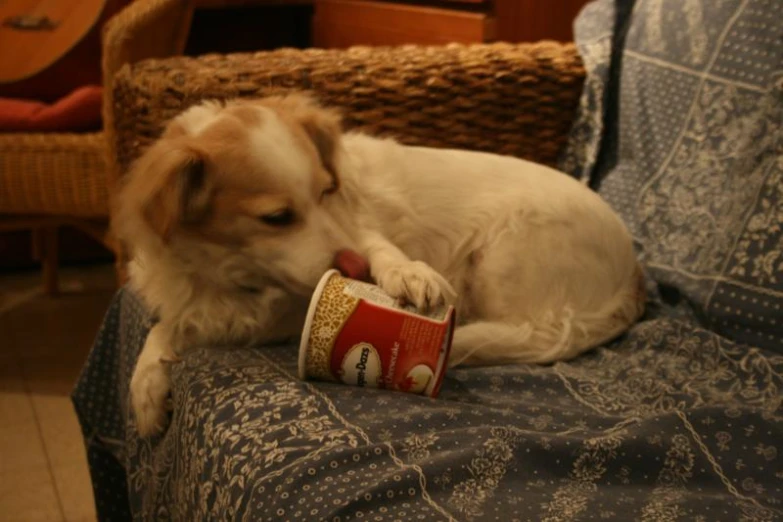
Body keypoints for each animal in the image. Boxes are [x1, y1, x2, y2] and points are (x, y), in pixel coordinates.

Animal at [115, 93, 644, 434]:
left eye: (326, 191)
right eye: (277, 218)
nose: (351, 269)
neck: (235, 276)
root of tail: (634, 277)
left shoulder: (341, 248)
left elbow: (380, 249)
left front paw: (409, 274)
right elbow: (166, 326)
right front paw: (146, 387)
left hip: (502, 255)